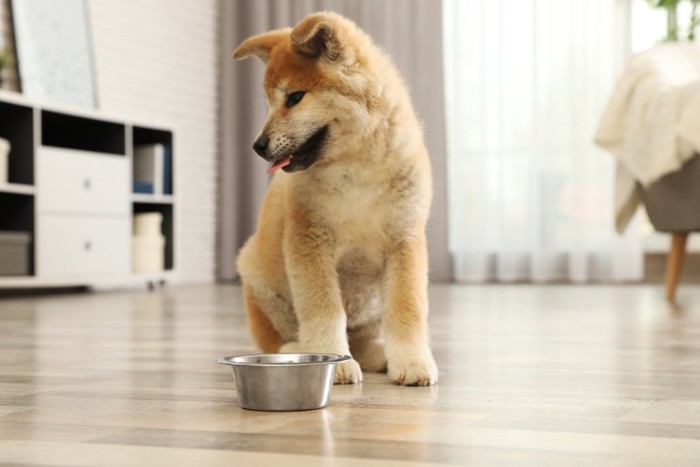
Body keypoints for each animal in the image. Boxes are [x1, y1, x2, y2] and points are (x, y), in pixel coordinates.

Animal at [235, 12, 438, 386]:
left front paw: (412, 361)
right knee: (275, 339)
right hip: (258, 277)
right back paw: (293, 351)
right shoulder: (310, 238)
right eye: (270, 102)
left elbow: (408, 309)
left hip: (371, 304)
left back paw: (378, 354)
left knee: (361, 337)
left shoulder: (405, 239)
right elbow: (323, 307)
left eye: (294, 98)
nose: (257, 146)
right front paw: (333, 360)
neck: (355, 166)